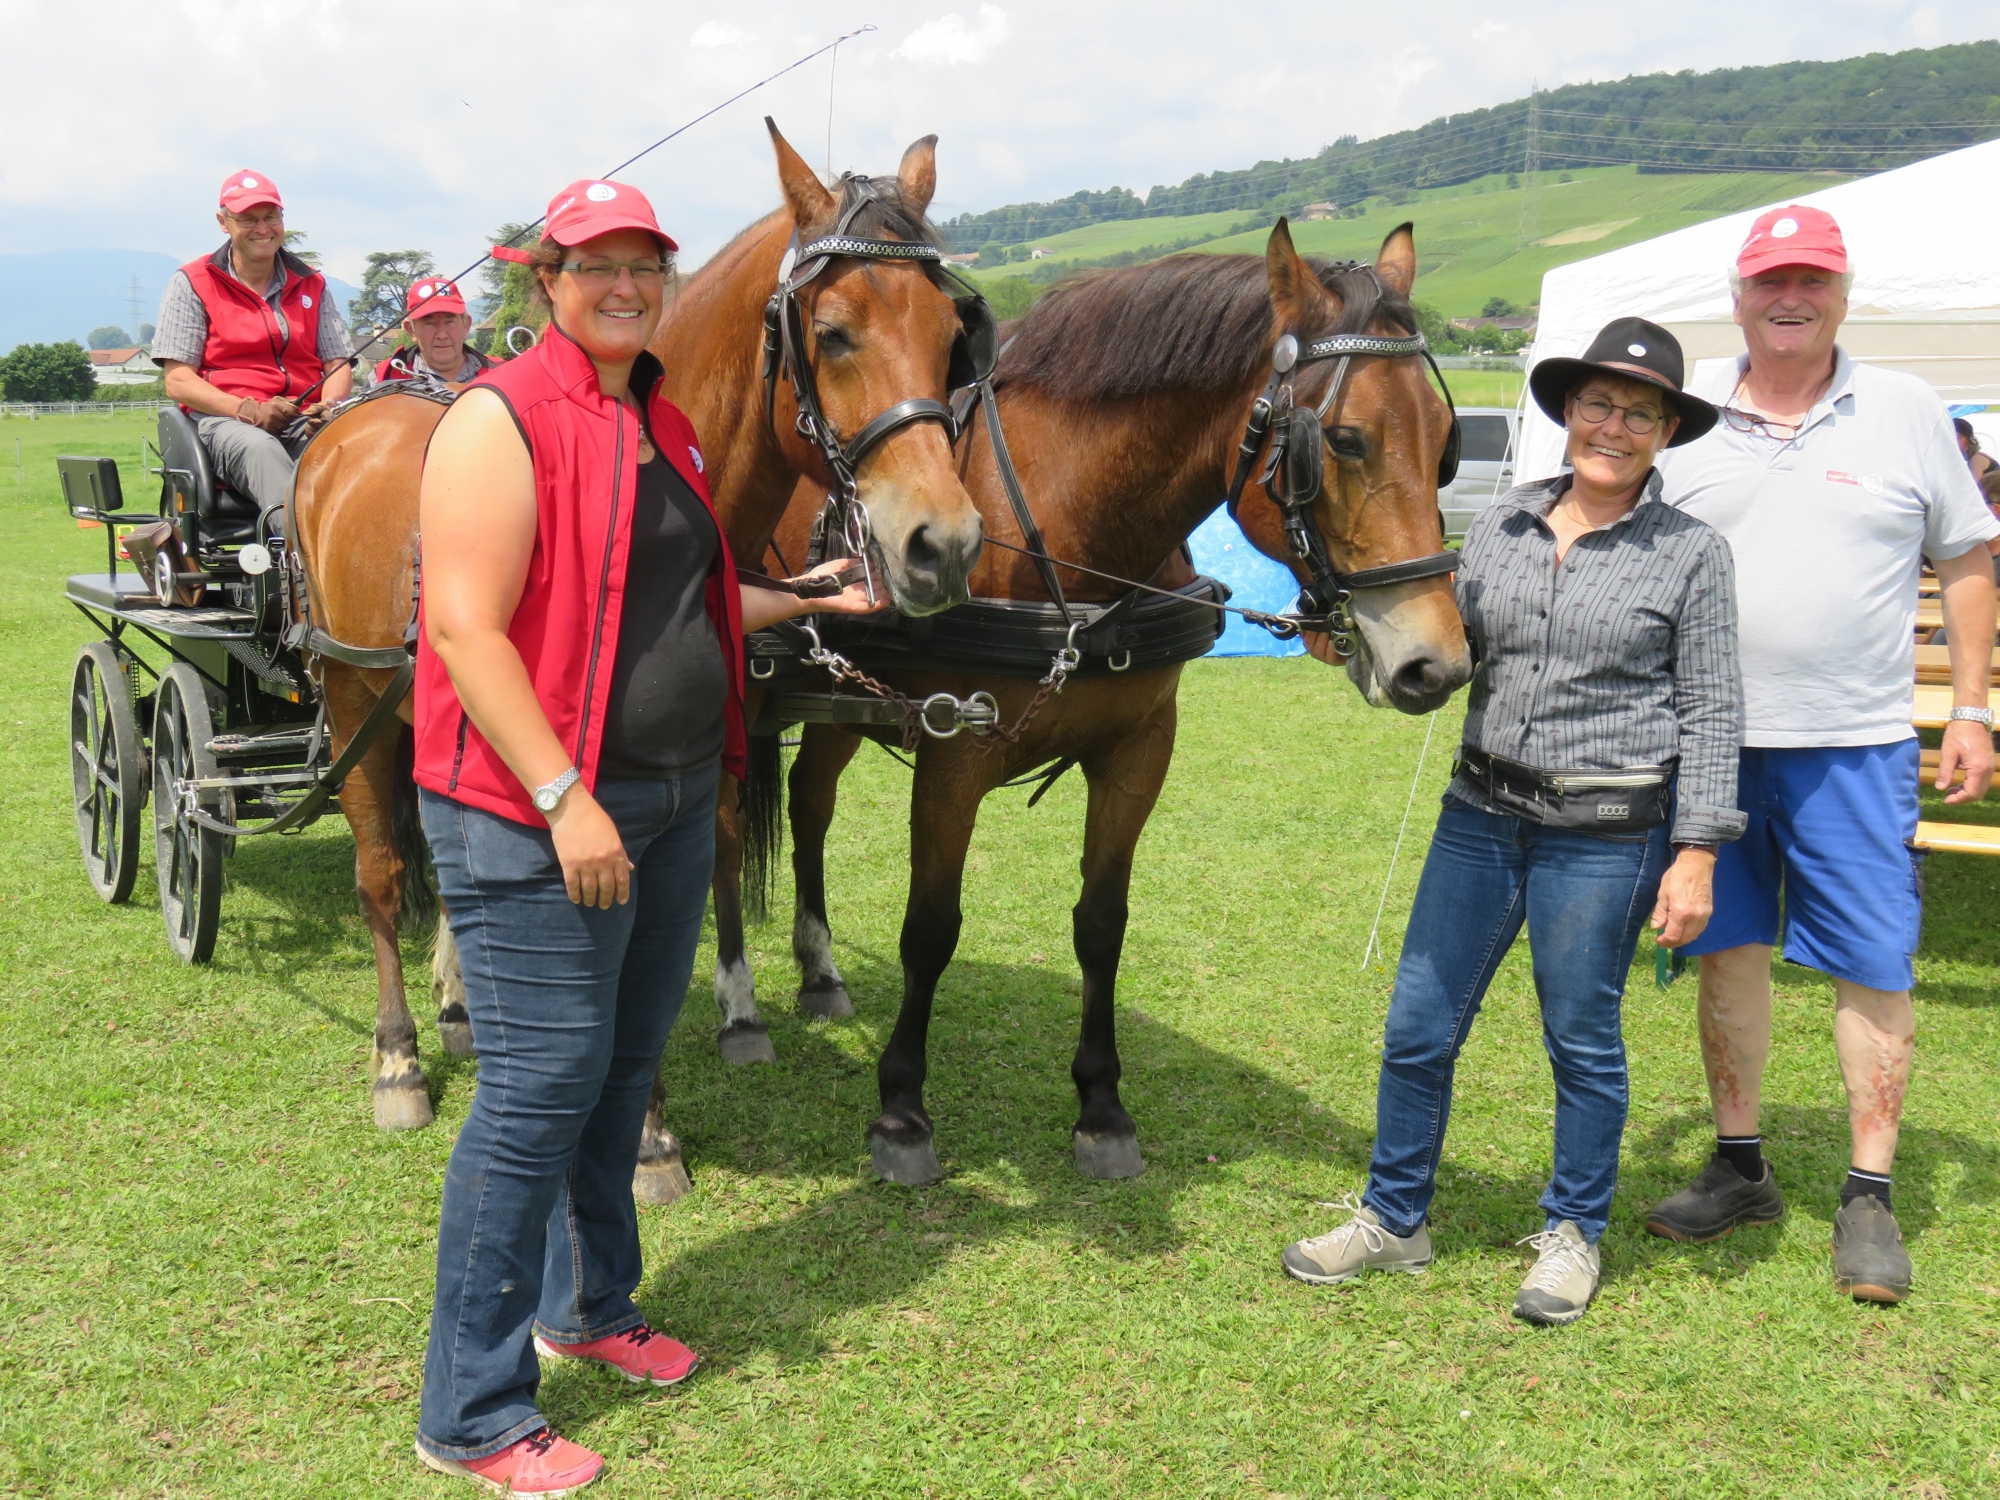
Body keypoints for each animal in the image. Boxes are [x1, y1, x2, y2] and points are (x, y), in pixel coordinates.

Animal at [716, 223, 1472, 1184]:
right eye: (1340, 441)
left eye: (1446, 442)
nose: (1436, 664)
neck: (1070, 532)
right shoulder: (956, 754)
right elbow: (930, 928)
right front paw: (902, 1111)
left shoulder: (1140, 749)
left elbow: (1102, 924)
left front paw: (1102, 1106)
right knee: (723, 832)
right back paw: (739, 1008)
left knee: (810, 804)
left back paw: (818, 970)